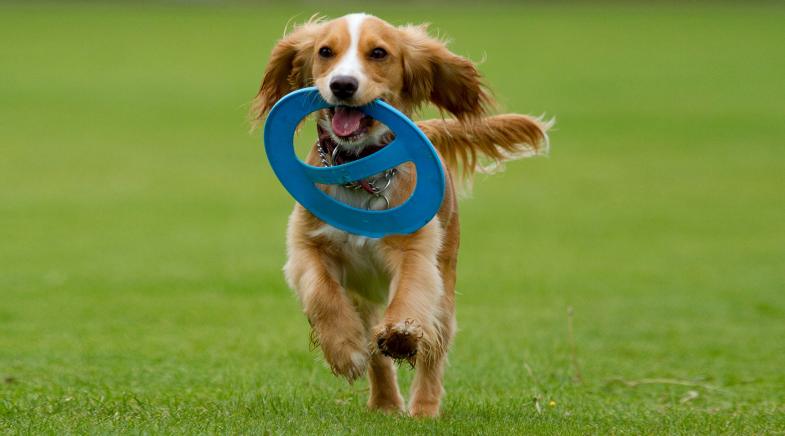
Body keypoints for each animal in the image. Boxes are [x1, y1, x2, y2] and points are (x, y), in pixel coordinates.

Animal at [254, 11, 548, 418]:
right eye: (325, 51)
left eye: (379, 53)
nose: (342, 85)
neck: (361, 174)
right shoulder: (306, 246)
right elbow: (322, 292)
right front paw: (344, 350)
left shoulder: (416, 252)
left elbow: (410, 294)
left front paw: (401, 335)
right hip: (365, 299)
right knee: (376, 354)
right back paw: (384, 403)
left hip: (445, 289)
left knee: (434, 350)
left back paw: (423, 408)